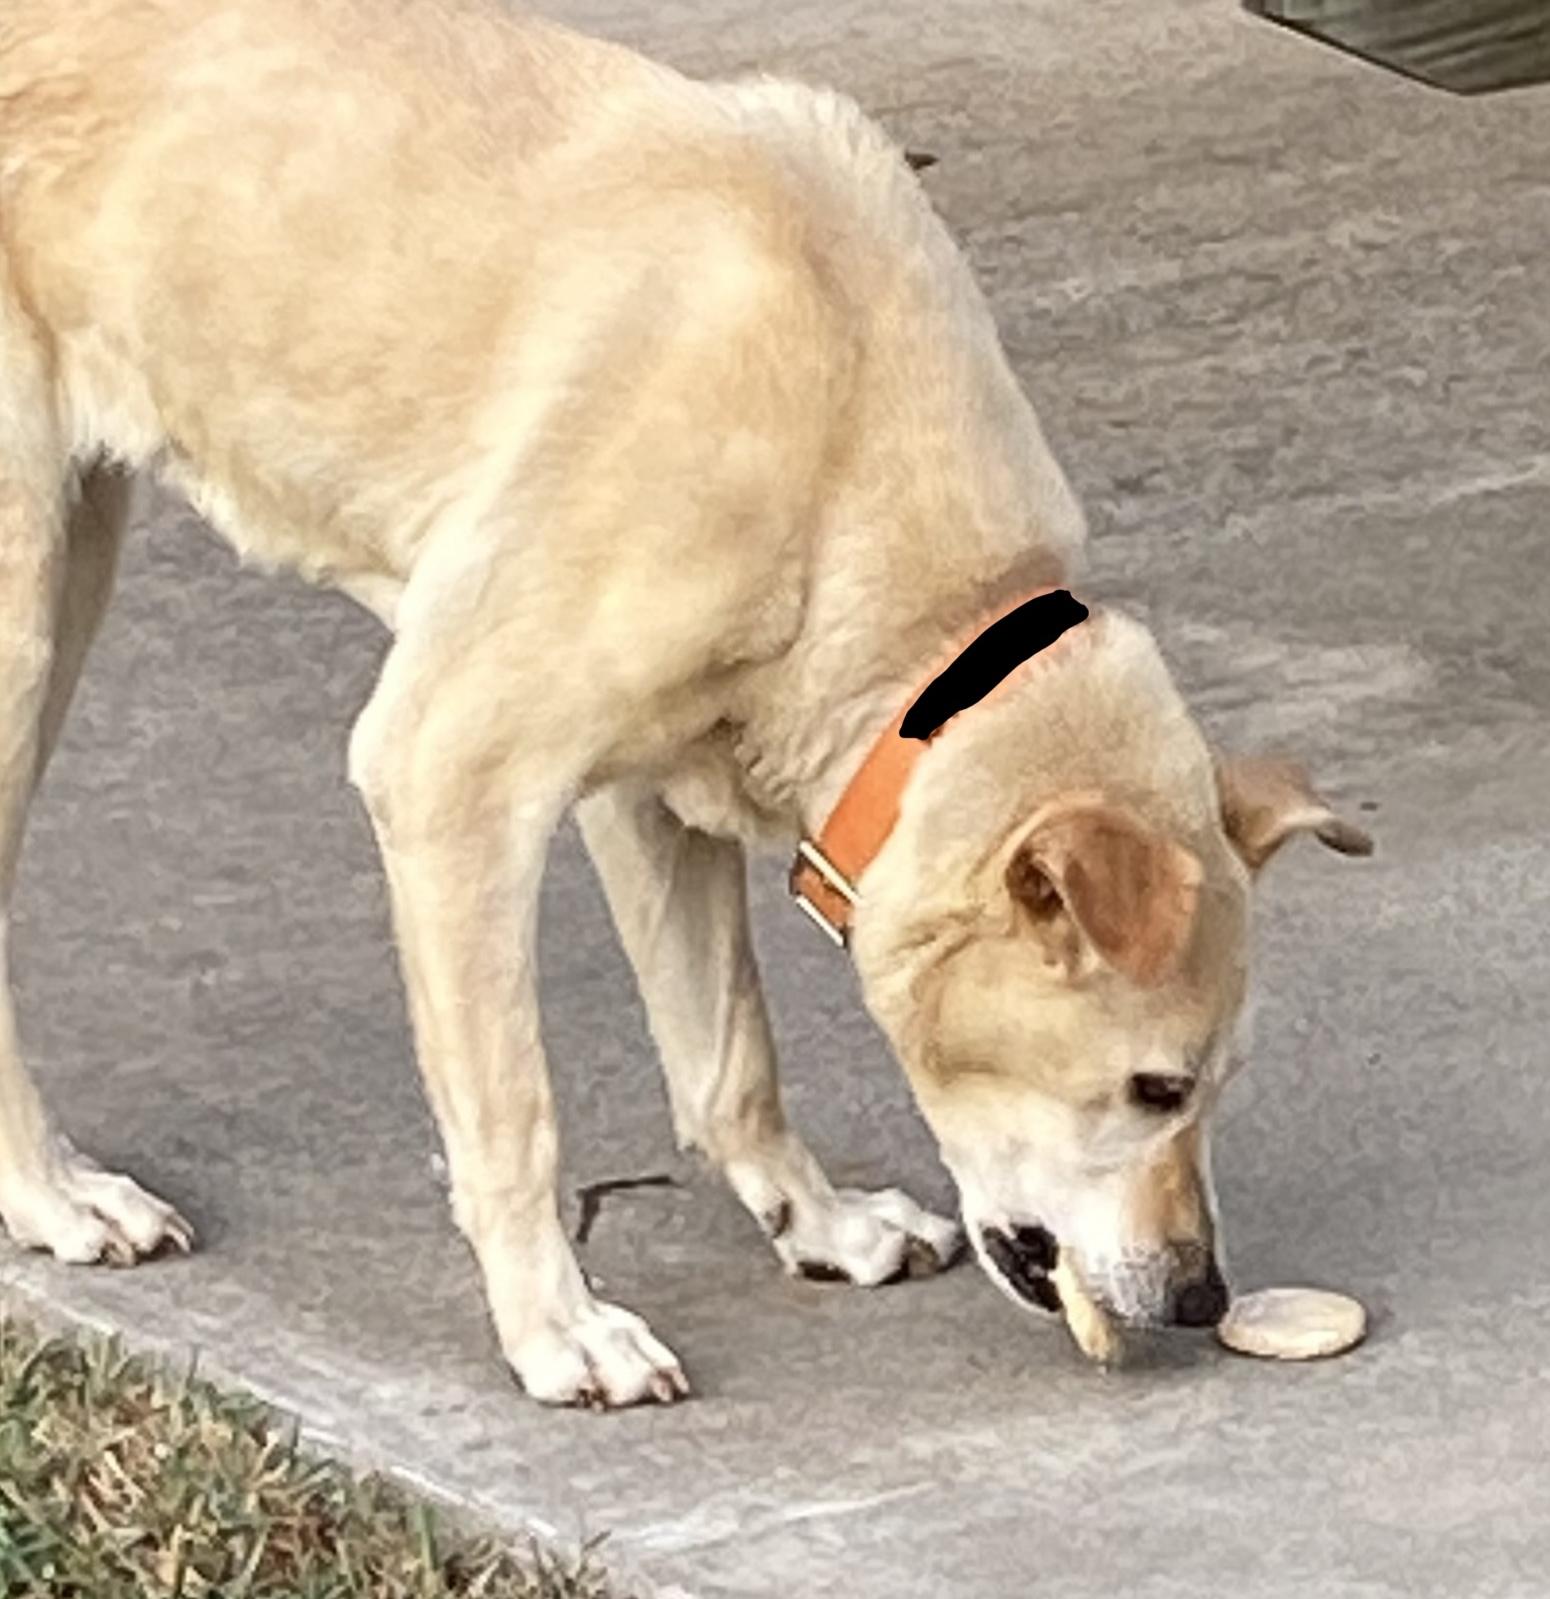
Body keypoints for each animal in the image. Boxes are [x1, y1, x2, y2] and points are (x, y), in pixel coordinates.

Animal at [0, 0, 1369, 1407]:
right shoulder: (451, 772)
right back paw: (54, 1196)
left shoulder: (649, 783)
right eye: (1153, 1087)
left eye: (1219, 1083)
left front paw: (817, 1224)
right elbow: (516, 1113)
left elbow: (729, 1053)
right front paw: (556, 1328)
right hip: (32, 604)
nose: (1205, 1299)